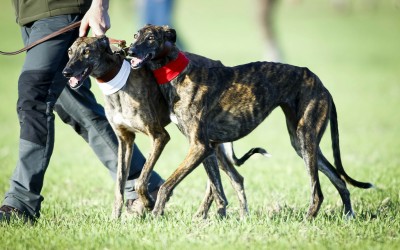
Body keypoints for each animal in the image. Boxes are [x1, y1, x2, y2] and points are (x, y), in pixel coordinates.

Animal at [62, 35, 268, 219]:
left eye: (87, 51)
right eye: (70, 52)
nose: (66, 72)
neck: (119, 87)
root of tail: (221, 65)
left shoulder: (159, 136)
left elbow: (141, 180)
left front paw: (148, 203)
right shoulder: (125, 140)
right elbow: (119, 185)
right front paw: (114, 218)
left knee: (217, 180)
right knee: (230, 177)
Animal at [130, 24, 374, 219]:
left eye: (150, 37)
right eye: (135, 35)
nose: (129, 50)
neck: (178, 74)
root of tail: (322, 85)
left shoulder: (199, 146)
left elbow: (168, 185)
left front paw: (156, 214)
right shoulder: (207, 149)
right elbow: (217, 189)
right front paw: (215, 219)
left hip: (306, 139)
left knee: (318, 192)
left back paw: (308, 221)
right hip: (302, 144)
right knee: (339, 180)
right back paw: (348, 215)